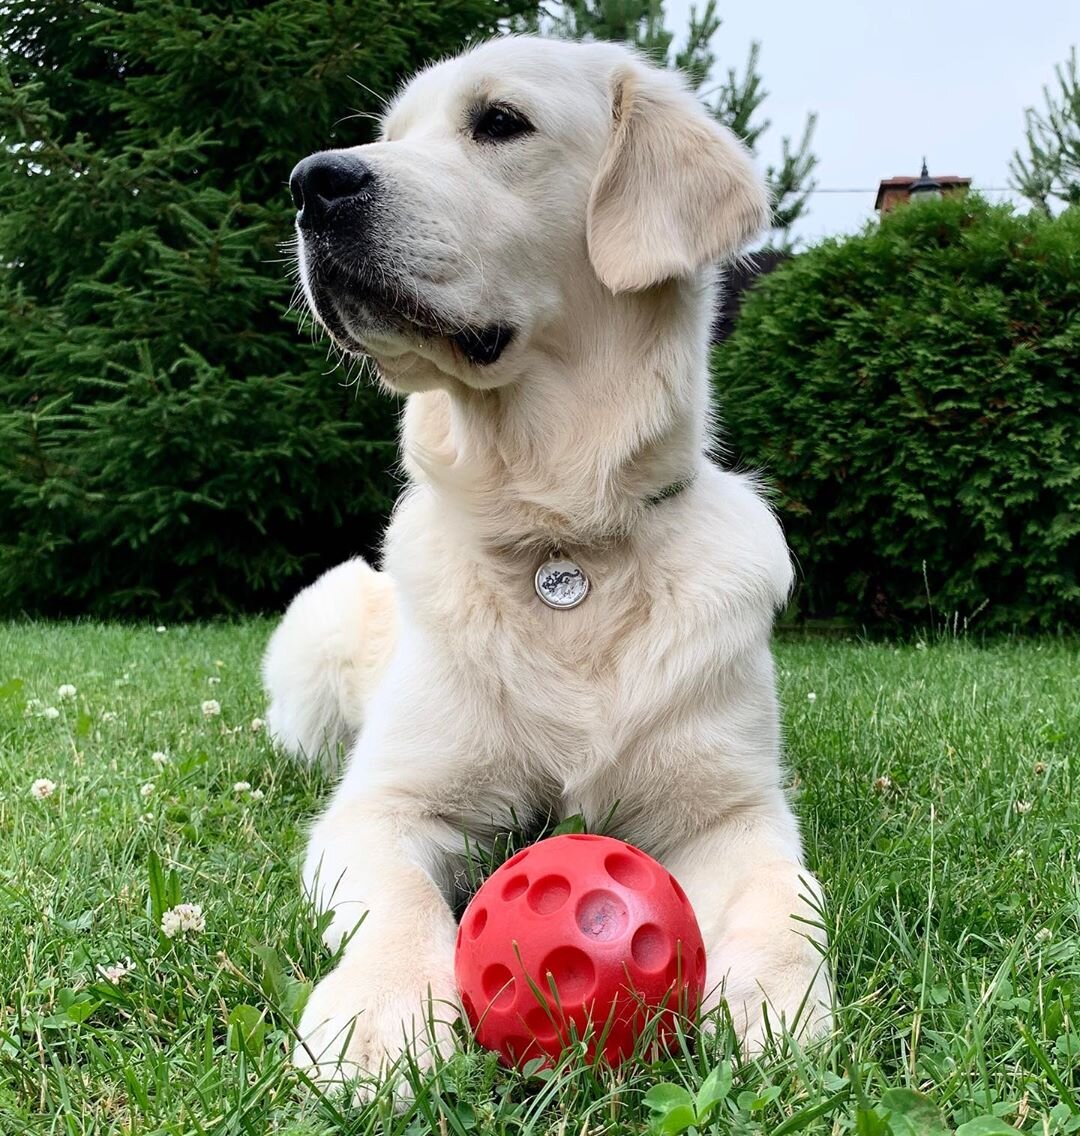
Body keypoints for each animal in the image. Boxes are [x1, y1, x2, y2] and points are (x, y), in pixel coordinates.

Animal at [263, 33, 835, 1081]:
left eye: (500, 123)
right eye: (386, 135)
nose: (311, 183)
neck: (560, 540)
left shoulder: (733, 810)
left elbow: (787, 894)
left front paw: (776, 998)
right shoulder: (381, 805)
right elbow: (400, 901)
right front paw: (378, 1018)